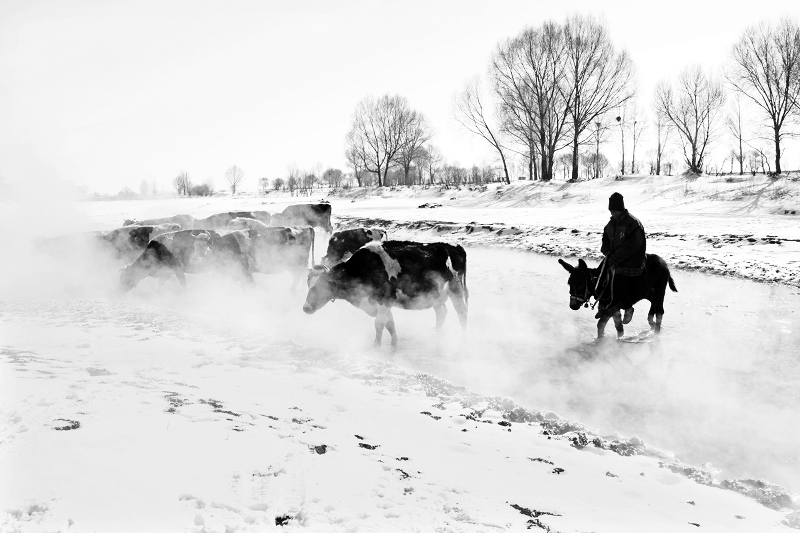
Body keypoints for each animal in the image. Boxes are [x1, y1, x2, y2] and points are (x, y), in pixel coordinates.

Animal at [116, 229, 250, 290]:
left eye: (124, 279)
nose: (117, 293)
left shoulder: (178, 269)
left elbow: (183, 284)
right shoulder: (167, 273)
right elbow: (160, 284)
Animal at [304, 240, 468, 344]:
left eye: (321, 286)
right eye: (308, 284)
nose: (305, 308)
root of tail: (454, 247)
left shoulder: (384, 300)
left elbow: (379, 324)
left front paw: (376, 346)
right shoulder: (382, 304)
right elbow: (390, 324)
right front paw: (394, 343)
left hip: (456, 288)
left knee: (462, 313)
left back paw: (463, 337)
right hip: (434, 295)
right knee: (442, 313)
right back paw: (436, 332)